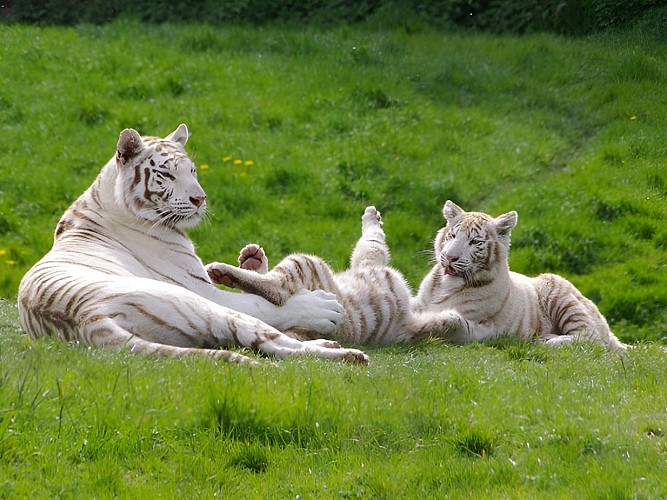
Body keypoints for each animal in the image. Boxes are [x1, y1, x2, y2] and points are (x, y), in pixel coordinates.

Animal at [17, 124, 370, 365]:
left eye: (193, 170)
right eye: (167, 175)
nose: (200, 199)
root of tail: (87, 318)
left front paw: (253, 259)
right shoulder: (200, 287)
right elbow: (265, 304)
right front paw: (320, 306)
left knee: (268, 346)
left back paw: (334, 350)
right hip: (201, 306)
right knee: (265, 333)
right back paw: (343, 350)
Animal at [206, 206, 493, 344]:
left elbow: (373, 240)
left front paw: (372, 217)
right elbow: (372, 241)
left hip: (309, 263)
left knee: (276, 289)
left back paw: (225, 271)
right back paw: (249, 262)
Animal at [413, 200, 628, 350]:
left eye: (475, 242)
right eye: (452, 236)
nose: (450, 257)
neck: (444, 285)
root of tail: (608, 330)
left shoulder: (480, 324)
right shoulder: (420, 302)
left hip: (560, 293)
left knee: (593, 339)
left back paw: (547, 340)